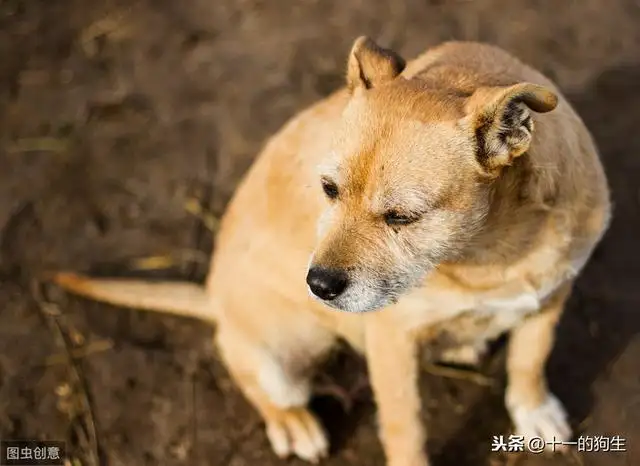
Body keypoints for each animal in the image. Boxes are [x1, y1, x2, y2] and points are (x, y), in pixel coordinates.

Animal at [52, 37, 612, 466]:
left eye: (401, 217)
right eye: (328, 189)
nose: (317, 285)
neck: (491, 250)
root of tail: (213, 297)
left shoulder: (551, 298)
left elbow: (530, 359)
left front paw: (533, 411)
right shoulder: (391, 342)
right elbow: (406, 428)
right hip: (277, 358)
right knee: (255, 381)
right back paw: (293, 423)